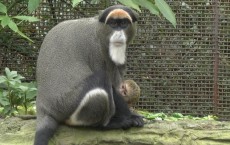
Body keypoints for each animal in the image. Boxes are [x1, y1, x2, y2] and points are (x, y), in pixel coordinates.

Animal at [34, 4, 144, 145]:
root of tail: (43, 108)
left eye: (124, 23)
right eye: (113, 23)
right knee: (100, 85)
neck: (99, 31)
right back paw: (105, 125)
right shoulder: (95, 49)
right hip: (64, 105)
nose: (119, 33)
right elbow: (110, 84)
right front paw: (131, 116)